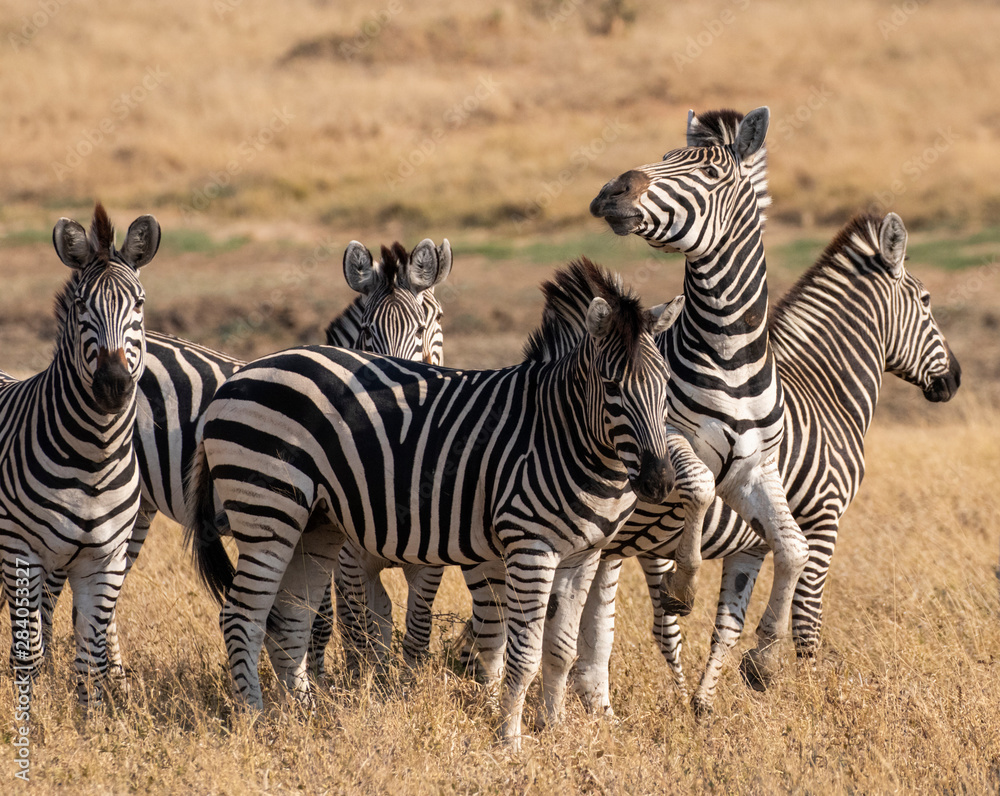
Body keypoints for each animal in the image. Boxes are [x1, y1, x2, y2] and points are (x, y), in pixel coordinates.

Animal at [0, 204, 160, 704]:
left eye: (140, 304)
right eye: (80, 306)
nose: (113, 386)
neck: (94, 456)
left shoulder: (103, 561)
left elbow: (89, 662)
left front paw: (89, 716)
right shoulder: (20, 549)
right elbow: (27, 656)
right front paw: (29, 715)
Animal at [38, 237, 450, 674]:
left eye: (429, 324)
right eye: (368, 332)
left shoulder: (425, 559)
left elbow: (412, 628)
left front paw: (396, 682)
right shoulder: (343, 552)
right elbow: (341, 626)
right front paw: (342, 682)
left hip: (137, 507)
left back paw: (115, 680)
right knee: (53, 584)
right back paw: (48, 673)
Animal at [186, 259, 682, 747]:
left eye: (666, 383)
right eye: (611, 385)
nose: (658, 481)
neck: (562, 432)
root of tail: (238, 378)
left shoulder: (583, 554)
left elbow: (558, 650)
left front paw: (555, 732)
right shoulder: (530, 546)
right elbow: (523, 654)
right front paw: (510, 741)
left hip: (315, 524)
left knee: (290, 621)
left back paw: (306, 720)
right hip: (269, 510)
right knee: (242, 617)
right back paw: (256, 722)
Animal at [570, 210, 961, 716]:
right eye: (927, 301)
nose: (954, 379)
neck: (826, 393)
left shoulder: (753, 539)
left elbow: (729, 623)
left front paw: (706, 702)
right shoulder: (824, 517)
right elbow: (807, 619)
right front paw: (811, 693)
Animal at [589, 106, 810, 689]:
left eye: (709, 174)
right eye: (666, 156)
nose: (613, 191)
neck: (731, 351)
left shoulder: (755, 468)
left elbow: (793, 546)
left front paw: (764, 656)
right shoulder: (666, 439)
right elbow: (701, 488)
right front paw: (684, 586)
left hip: (606, 548)